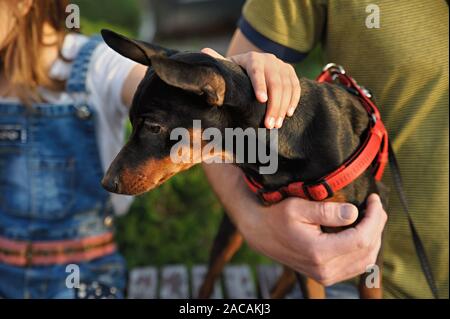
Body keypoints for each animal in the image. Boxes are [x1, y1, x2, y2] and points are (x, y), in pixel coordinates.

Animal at [102, 29, 386, 300]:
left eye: (153, 127)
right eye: (131, 121)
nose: (107, 184)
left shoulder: (363, 245)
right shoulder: (308, 246)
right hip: (233, 229)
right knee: (212, 277)